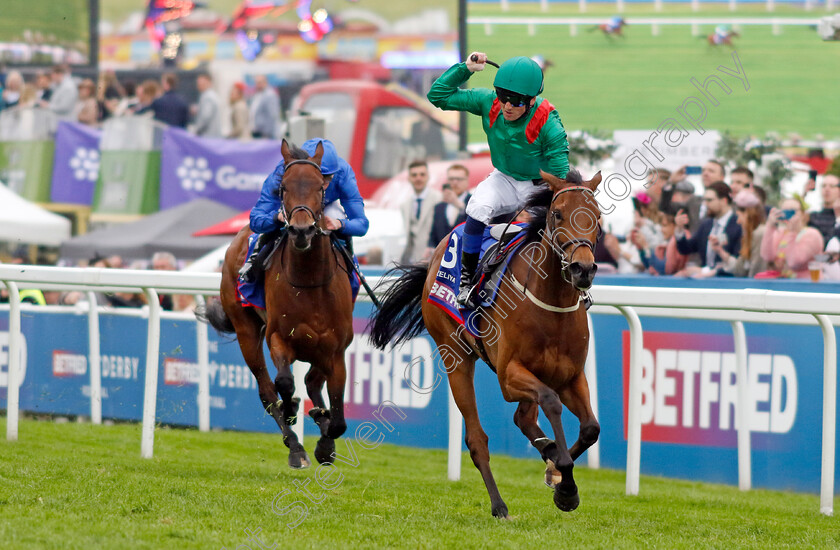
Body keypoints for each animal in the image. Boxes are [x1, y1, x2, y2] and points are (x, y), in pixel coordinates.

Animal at [198, 141, 352, 470]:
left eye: (321, 188)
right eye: (283, 188)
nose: (301, 230)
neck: (310, 283)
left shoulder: (336, 349)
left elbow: (338, 419)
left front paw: (325, 440)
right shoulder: (279, 337)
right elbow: (283, 383)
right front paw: (294, 413)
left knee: (311, 382)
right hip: (246, 330)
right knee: (268, 391)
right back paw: (295, 444)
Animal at [370, 170, 600, 520]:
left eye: (598, 218)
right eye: (558, 214)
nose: (583, 269)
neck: (551, 304)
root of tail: (437, 250)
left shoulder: (571, 376)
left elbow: (590, 428)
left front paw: (557, 475)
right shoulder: (509, 375)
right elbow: (550, 401)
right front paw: (563, 480)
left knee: (524, 419)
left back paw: (546, 451)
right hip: (455, 357)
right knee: (478, 439)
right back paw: (500, 505)